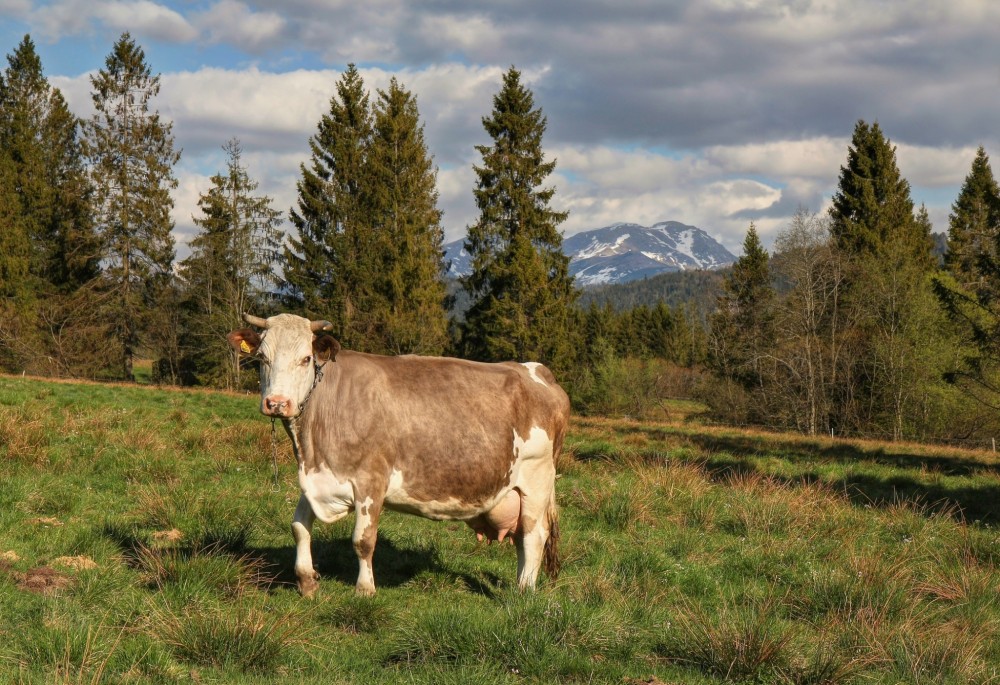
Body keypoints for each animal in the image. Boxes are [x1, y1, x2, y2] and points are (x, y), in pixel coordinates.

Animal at [229, 312, 572, 596]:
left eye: (306, 358)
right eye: (262, 358)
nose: (277, 403)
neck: (312, 444)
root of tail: (536, 370)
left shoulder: (371, 480)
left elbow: (363, 540)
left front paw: (365, 590)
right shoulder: (319, 479)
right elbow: (299, 527)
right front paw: (306, 581)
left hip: (537, 479)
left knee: (534, 535)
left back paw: (524, 591)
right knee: (522, 537)